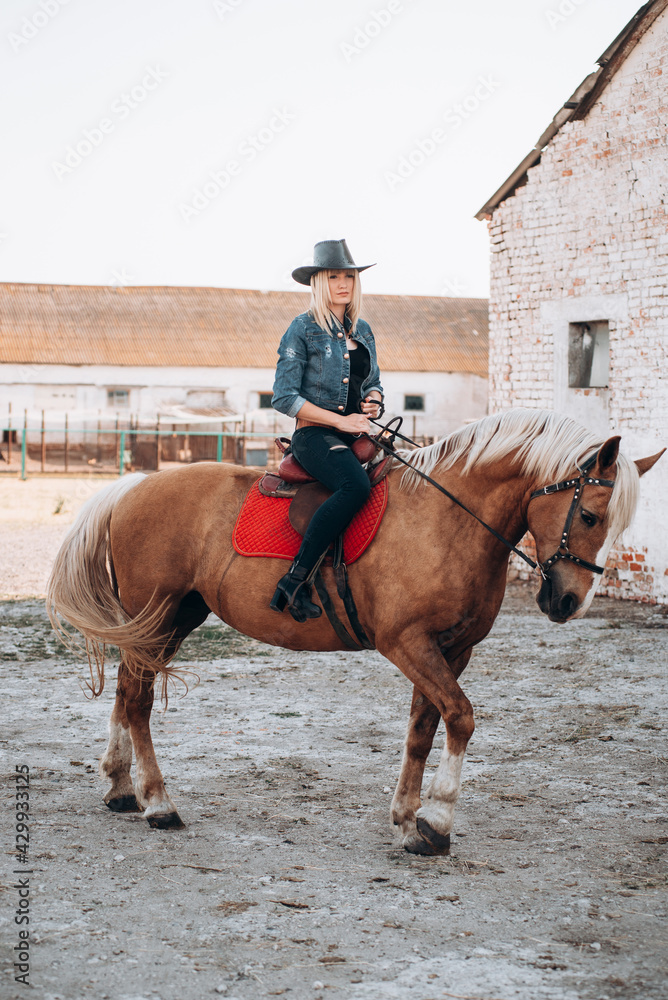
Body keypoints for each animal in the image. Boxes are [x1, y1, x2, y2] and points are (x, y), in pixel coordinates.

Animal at [47, 410, 664, 856]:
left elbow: (422, 730)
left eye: (616, 525)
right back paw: (158, 803)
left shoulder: (450, 650)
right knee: (138, 700)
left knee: (127, 692)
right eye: (589, 516)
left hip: (171, 620)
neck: (447, 521)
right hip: (159, 616)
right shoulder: (406, 643)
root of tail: (133, 487)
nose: (568, 602)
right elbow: (461, 717)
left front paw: (407, 822)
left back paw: (121, 788)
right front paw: (437, 821)